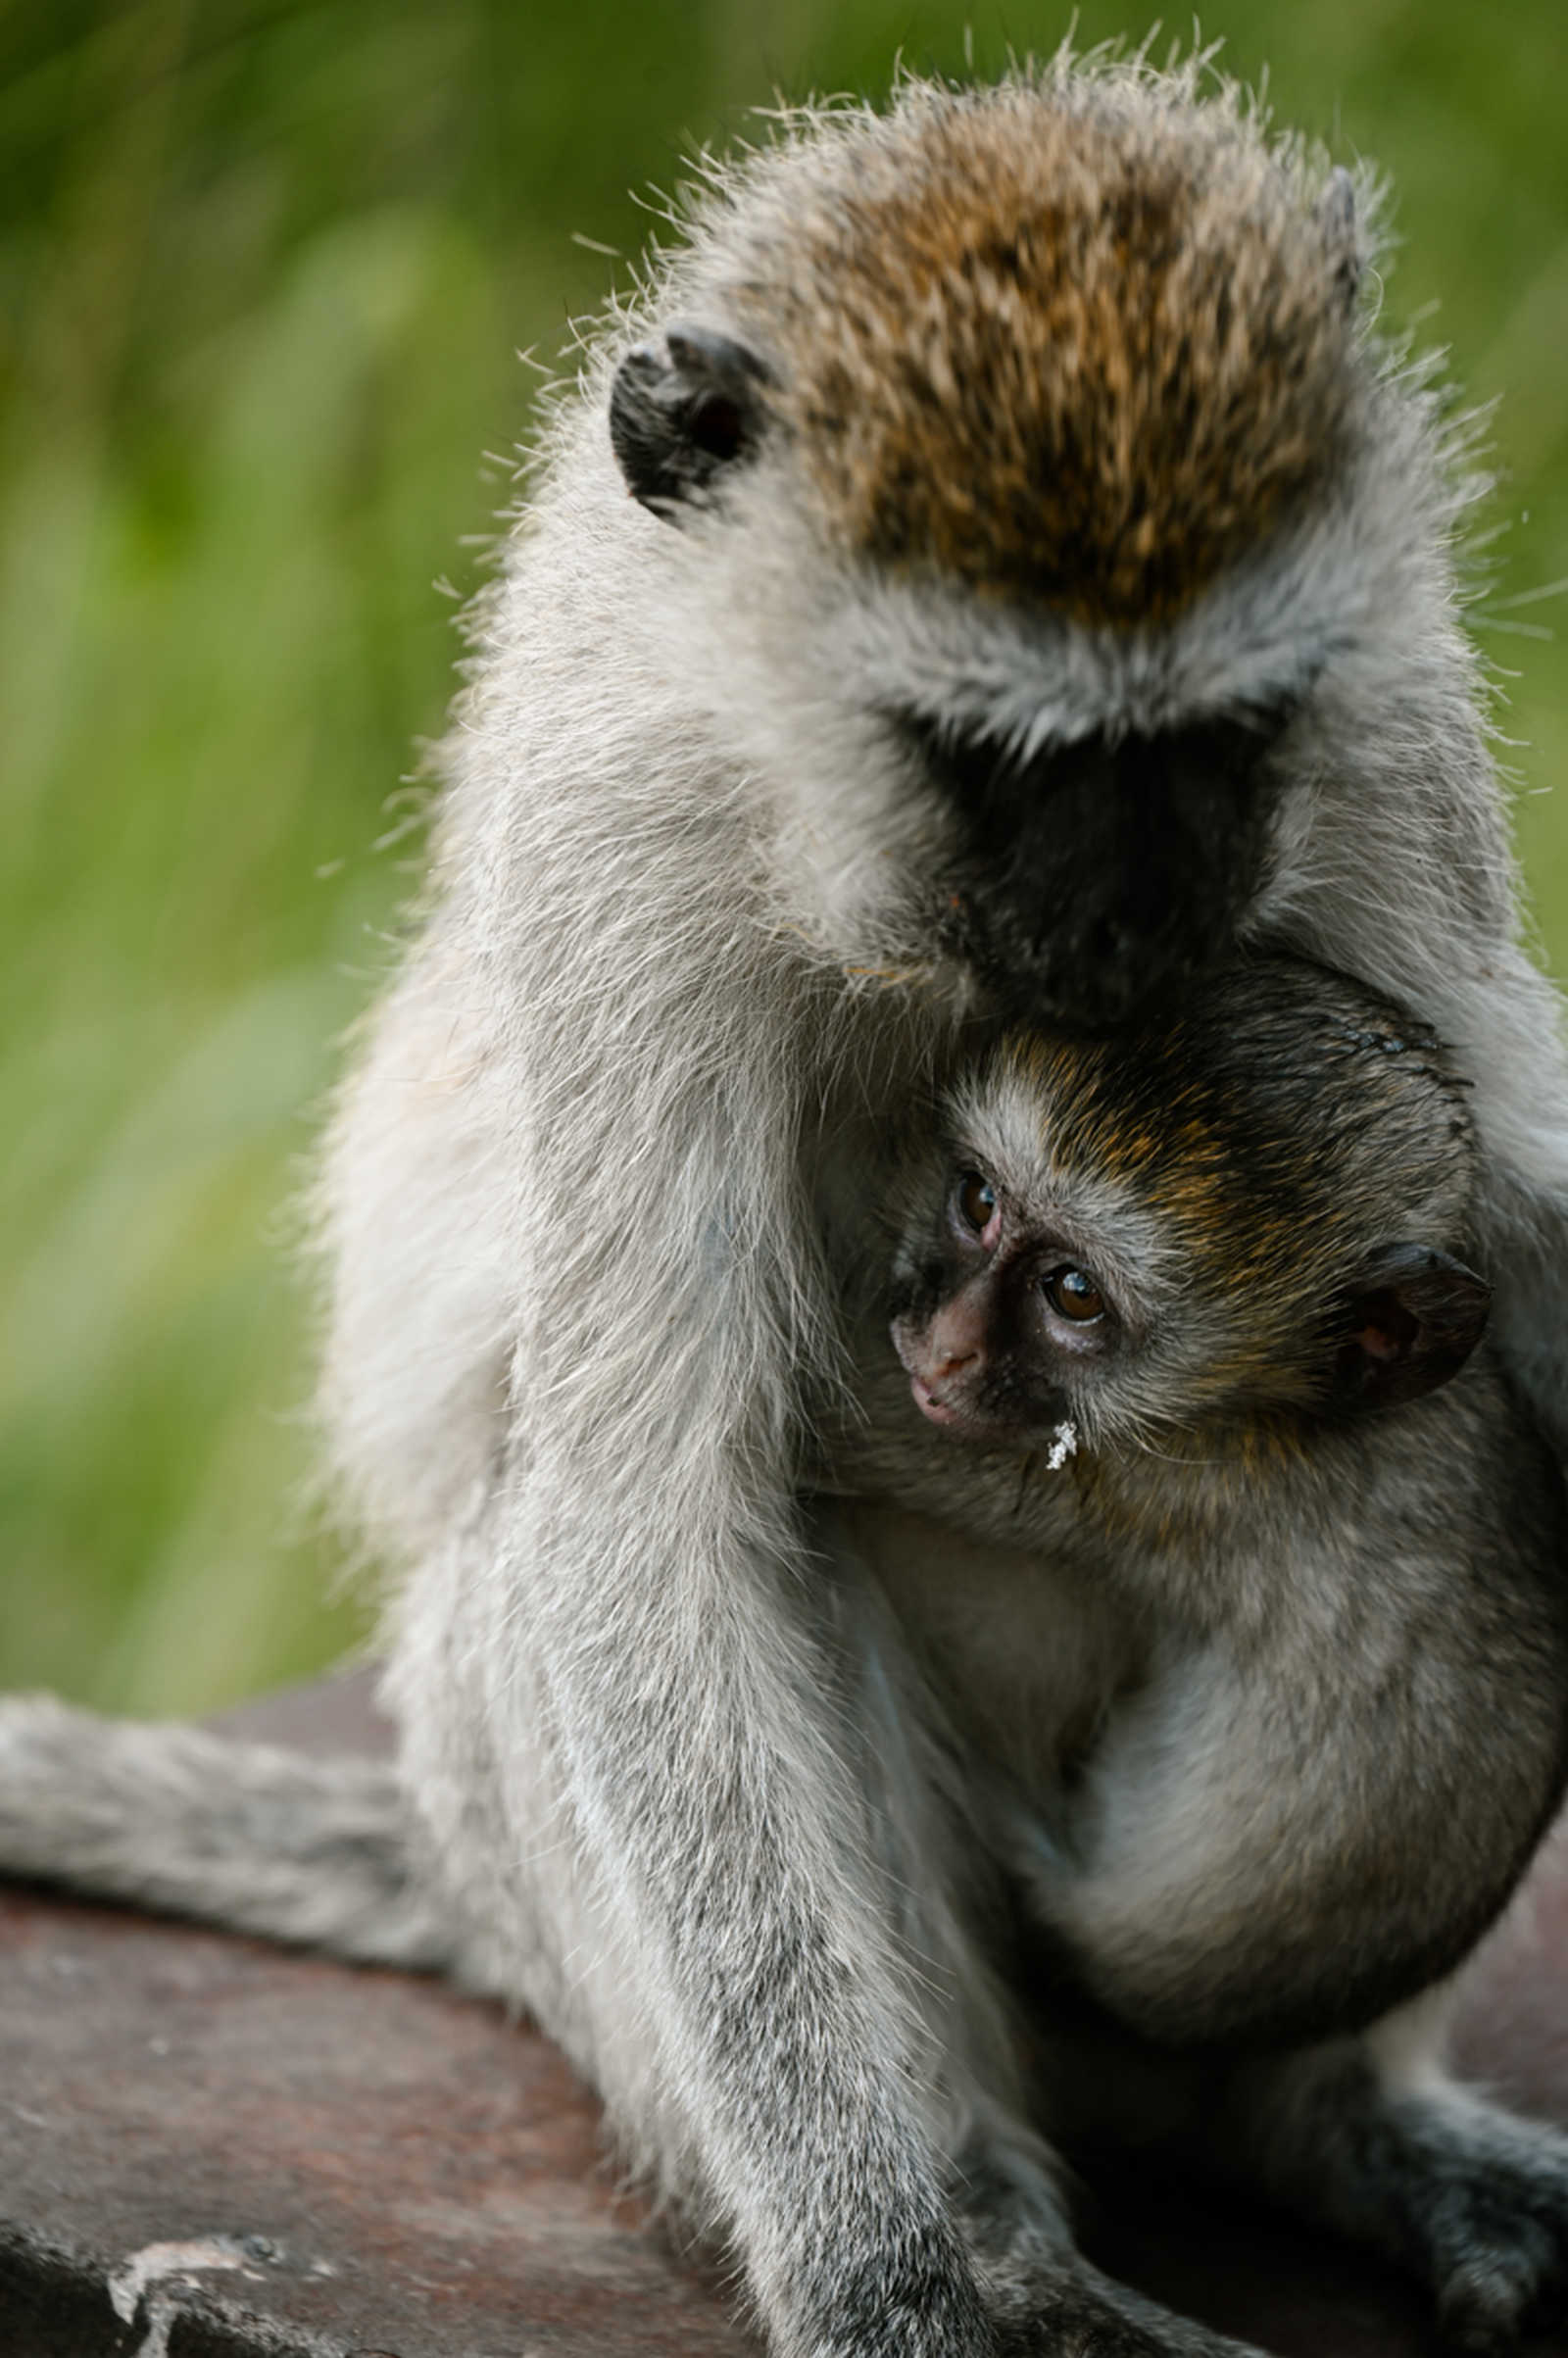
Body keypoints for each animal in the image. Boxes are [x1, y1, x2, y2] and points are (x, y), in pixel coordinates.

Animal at [5, 50, 1568, 2358]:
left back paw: (1327, 2123)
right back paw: (995, 2219)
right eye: (999, 762)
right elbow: (645, 1501)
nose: (1140, 934)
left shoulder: (1372, 739)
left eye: (1212, 736)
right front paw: (889, 2273)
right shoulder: (628, 852)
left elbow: (1524, 1211)